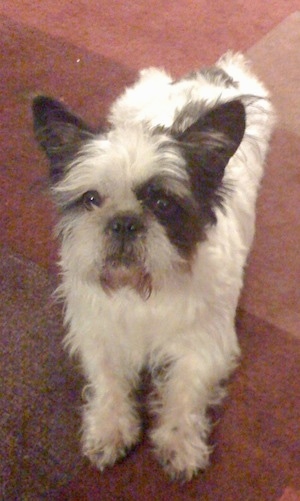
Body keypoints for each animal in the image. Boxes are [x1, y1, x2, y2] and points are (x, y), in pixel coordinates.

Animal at [32, 52, 274, 478]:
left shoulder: (203, 342)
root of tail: (218, 72)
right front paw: (109, 426)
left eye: (162, 204)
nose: (124, 221)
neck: (142, 289)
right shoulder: (98, 332)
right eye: (91, 199)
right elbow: (108, 381)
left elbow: (184, 390)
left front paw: (180, 442)